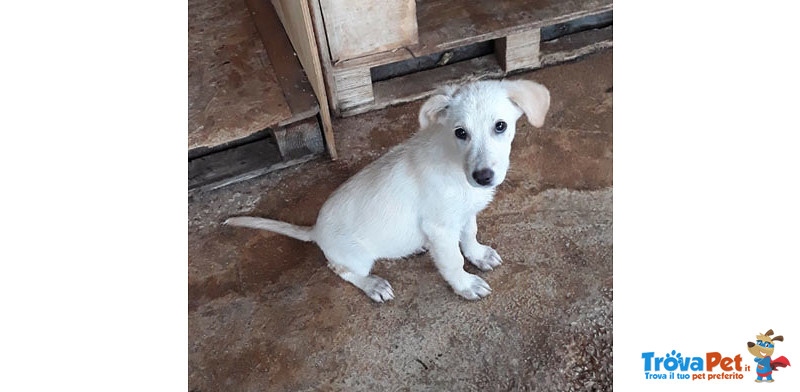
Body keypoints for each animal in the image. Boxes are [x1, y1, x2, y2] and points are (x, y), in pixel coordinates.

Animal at [225, 79, 552, 300]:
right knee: (339, 269)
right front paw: (465, 284)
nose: (483, 177)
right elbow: (452, 260)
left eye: (500, 126)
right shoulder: (440, 227)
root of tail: (315, 231)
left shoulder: (464, 212)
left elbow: (469, 236)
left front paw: (479, 255)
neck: (456, 165)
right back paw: (373, 285)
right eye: (461, 132)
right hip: (357, 256)